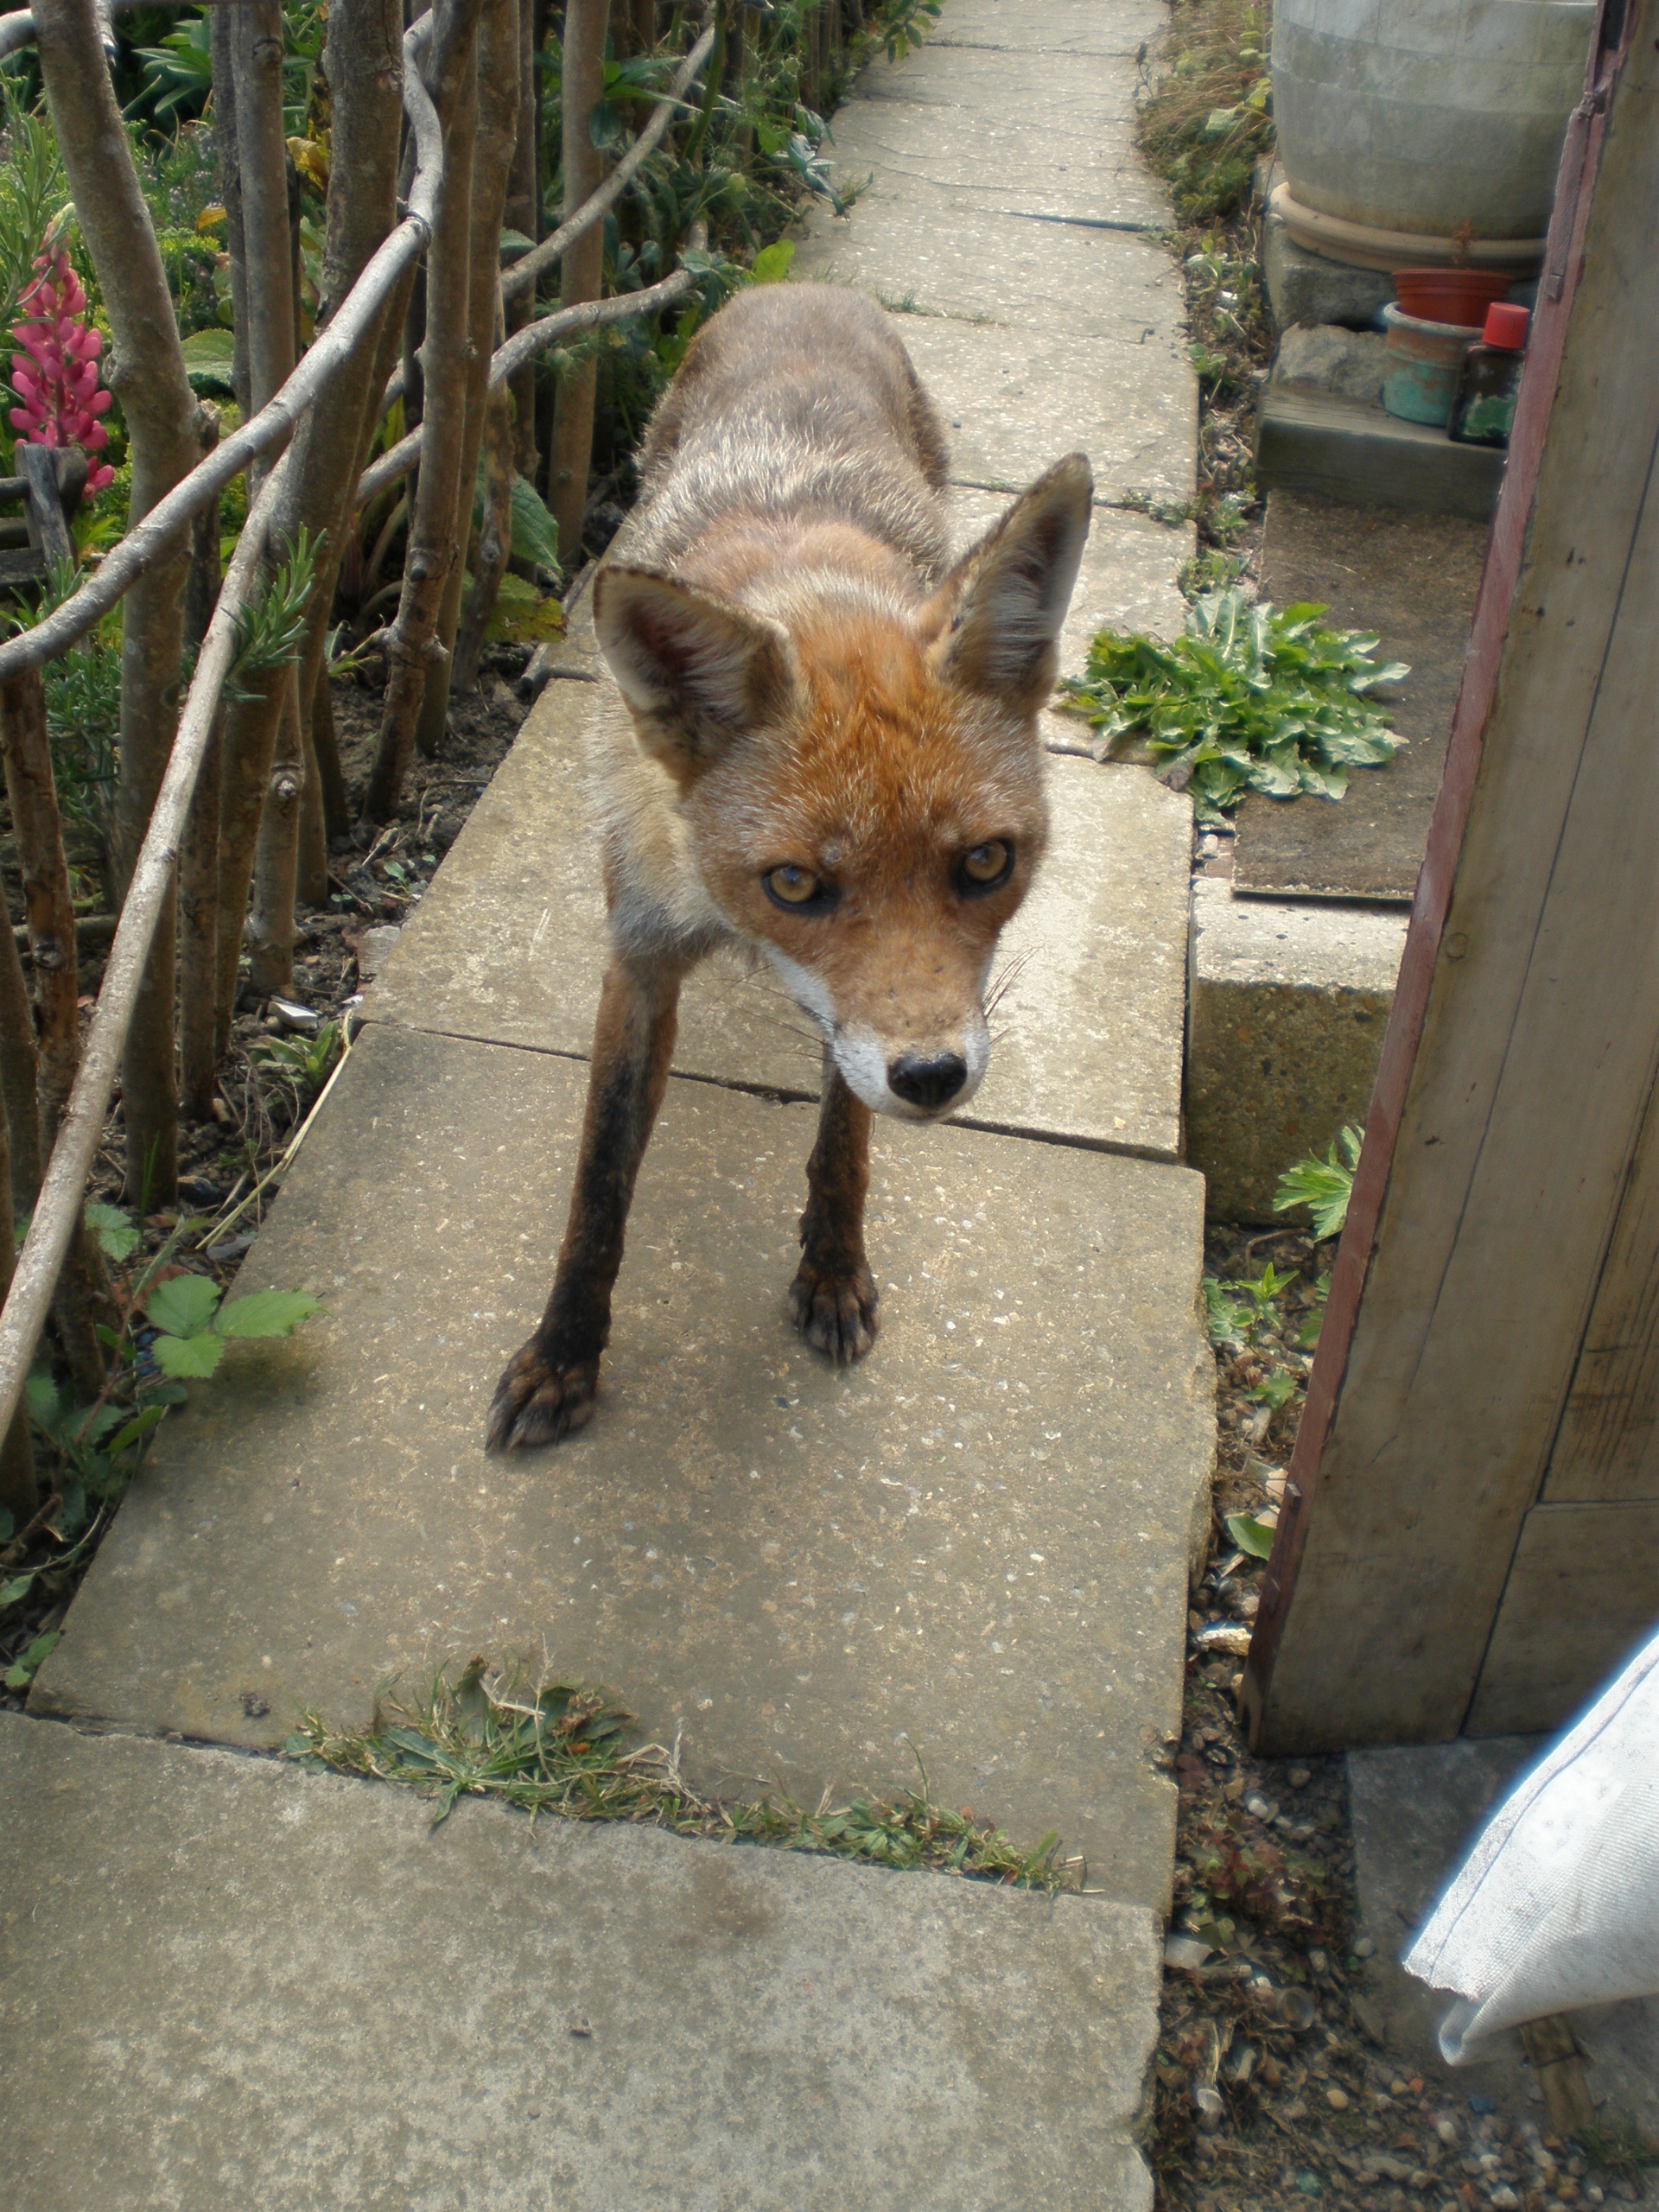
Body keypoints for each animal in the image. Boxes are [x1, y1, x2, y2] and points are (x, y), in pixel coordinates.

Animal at [487, 282, 1092, 1452]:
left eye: (986, 862)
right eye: (797, 885)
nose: (933, 1078)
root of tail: (803, 290)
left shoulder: (855, 1022)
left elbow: (844, 1138)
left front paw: (833, 1268)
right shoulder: (639, 954)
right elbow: (599, 1182)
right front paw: (565, 1351)